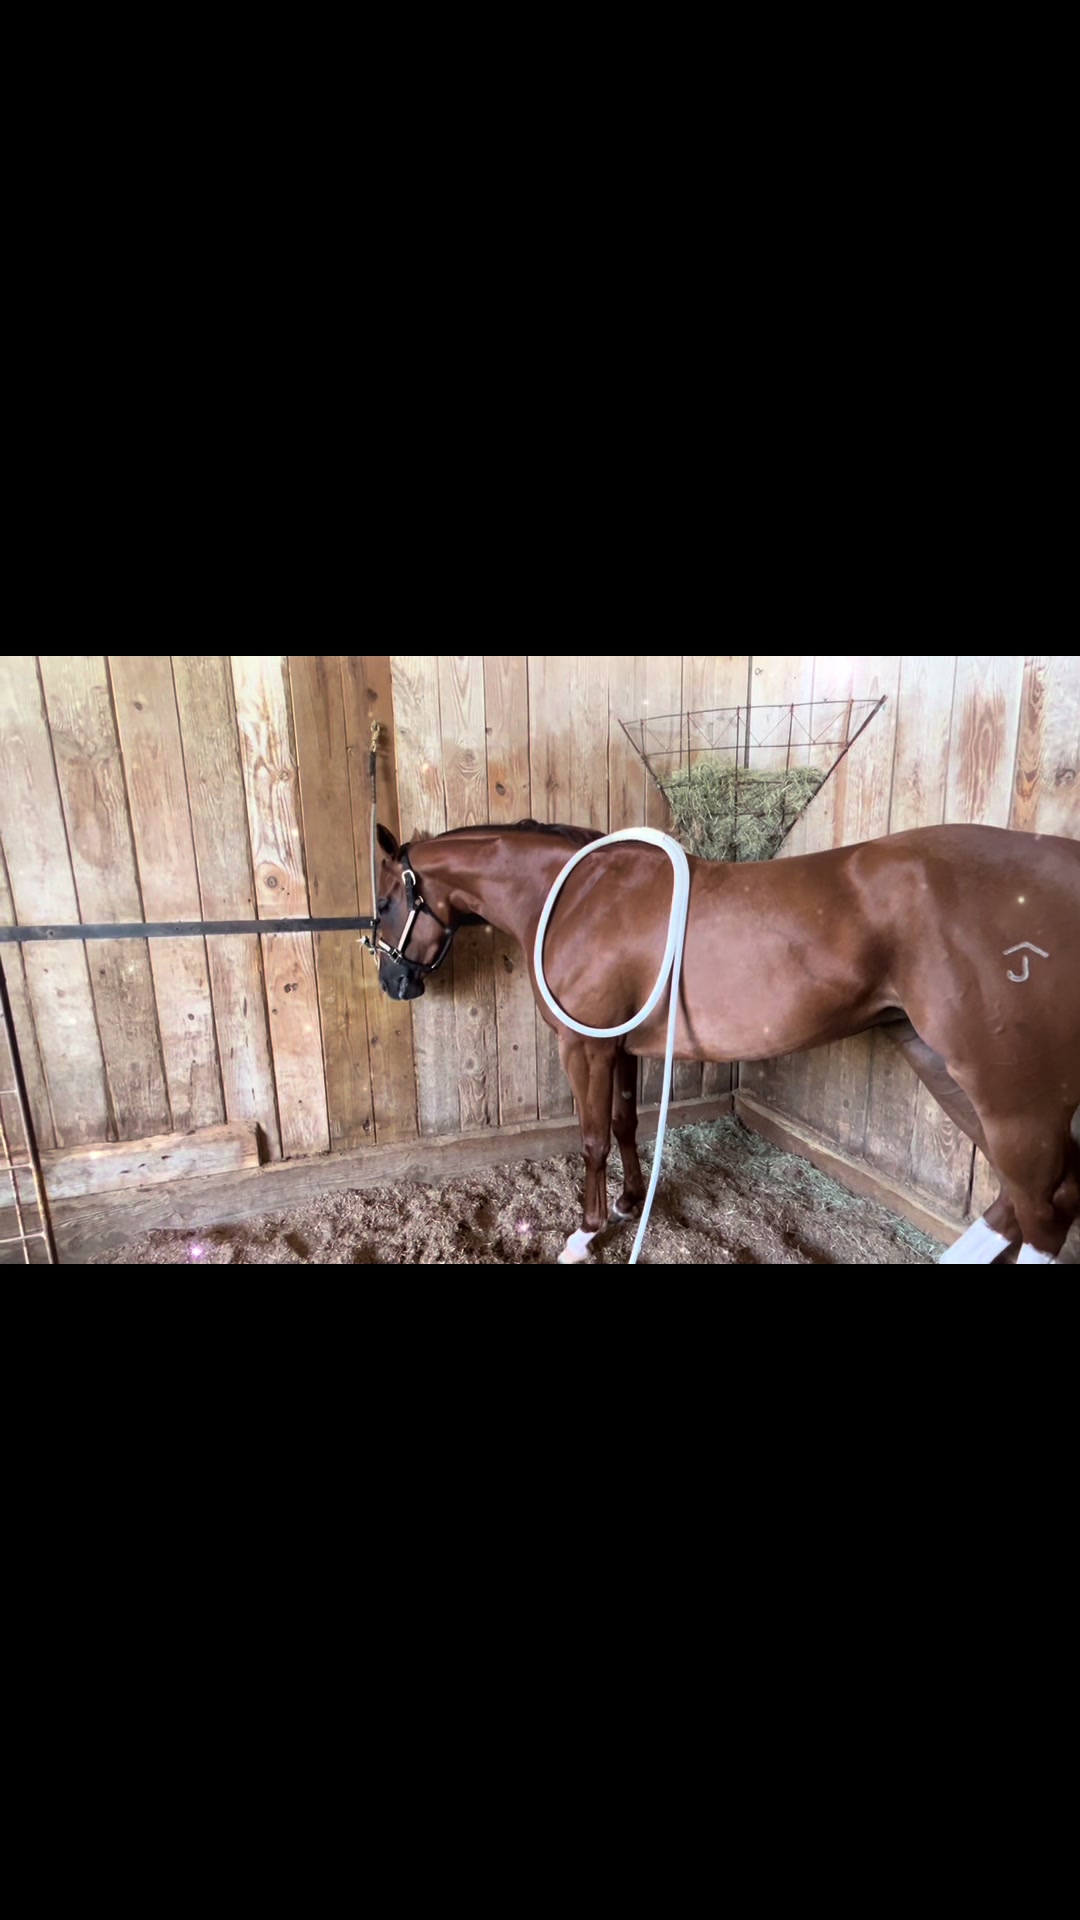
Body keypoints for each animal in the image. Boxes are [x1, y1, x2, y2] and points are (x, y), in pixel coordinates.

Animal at [369, 818, 1080, 1266]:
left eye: (383, 903)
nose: (392, 980)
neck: (578, 897)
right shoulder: (623, 1050)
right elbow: (625, 1125)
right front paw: (629, 1204)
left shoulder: (586, 1048)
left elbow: (593, 1138)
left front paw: (585, 1234)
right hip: (949, 1070)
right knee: (1031, 1199)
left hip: (1013, 1097)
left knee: (1045, 1214)